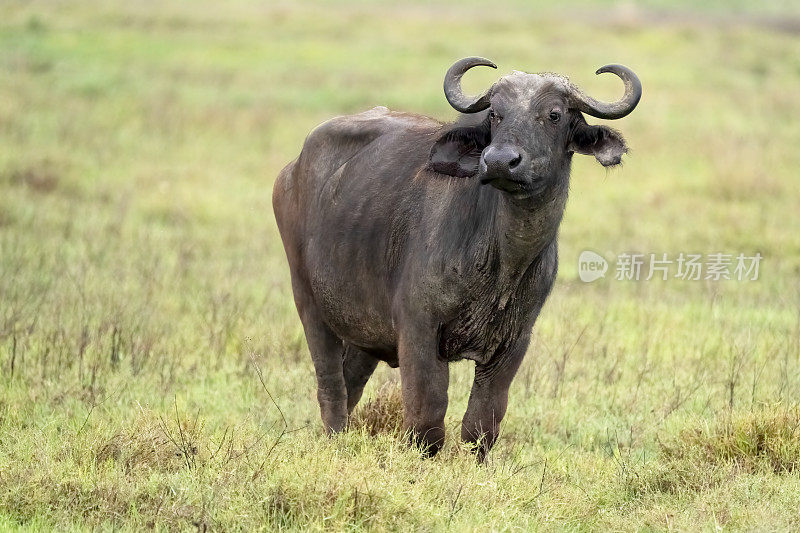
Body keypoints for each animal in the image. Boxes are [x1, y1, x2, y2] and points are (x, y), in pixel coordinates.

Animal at [272, 57, 640, 458]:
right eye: (495, 113)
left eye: (554, 114)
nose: (500, 161)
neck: (501, 265)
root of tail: (291, 171)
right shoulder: (419, 329)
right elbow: (427, 414)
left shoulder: (514, 342)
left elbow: (483, 420)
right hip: (307, 299)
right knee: (330, 387)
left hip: (364, 331)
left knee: (350, 382)